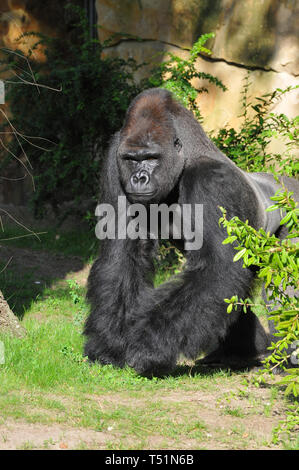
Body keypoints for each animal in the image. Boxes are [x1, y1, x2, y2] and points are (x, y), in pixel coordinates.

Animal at [83, 86, 298, 376]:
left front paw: (148, 346)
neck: (184, 158)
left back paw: (285, 359)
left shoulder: (211, 181)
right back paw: (240, 351)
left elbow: (218, 267)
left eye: (151, 158)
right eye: (131, 159)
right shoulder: (113, 160)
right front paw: (108, 342)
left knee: (282, 285)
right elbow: (120, 256)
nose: (138, 178)